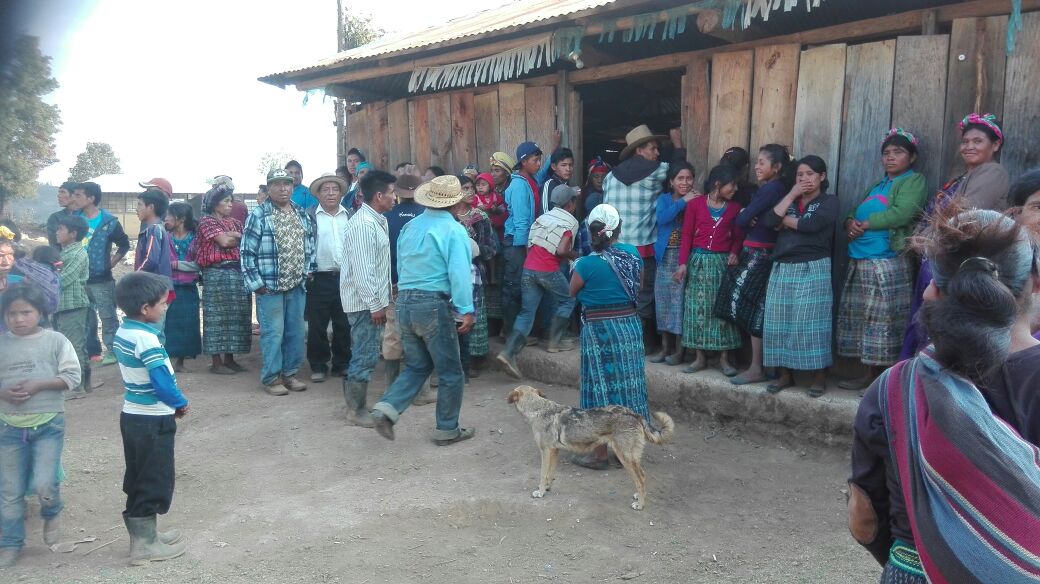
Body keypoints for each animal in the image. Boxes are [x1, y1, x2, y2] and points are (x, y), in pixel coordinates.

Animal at [509, 384, 673, 507]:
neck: (538, 409)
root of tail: (634, 414)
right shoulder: (554, 451)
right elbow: (550, 474)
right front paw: (548, 488)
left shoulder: (545, 451)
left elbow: (543, 475)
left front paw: (541, 492)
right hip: (632, 457)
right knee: (643, 476)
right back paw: (639, 496)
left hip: (625, 457)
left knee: (640, 479)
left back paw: (640, 505)